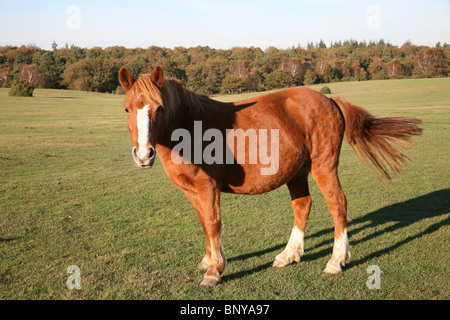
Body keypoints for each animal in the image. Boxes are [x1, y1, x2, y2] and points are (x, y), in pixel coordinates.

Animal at [118, 66, 422, 286]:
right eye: (127, 108)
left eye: (159, 108)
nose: (143, 155)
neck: (189, 126)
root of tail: (328, 99)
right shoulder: (191, 190)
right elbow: (205, 223)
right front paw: (208, 260)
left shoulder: (207, 187)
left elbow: (214, 224)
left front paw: (214, 271)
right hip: (297, 172)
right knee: (302, 206)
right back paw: (288, 255)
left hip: (323, 166)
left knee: (338, 204)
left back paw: (336, 261)